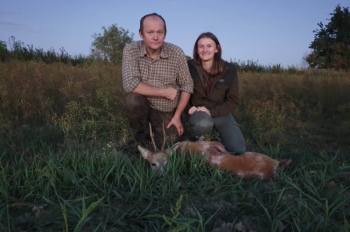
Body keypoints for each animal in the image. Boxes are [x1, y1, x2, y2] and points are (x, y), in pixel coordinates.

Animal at [138, 123, 292, 179]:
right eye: (152, 164)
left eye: (166, 163)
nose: (160, 176)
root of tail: (270, 169)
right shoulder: (208, 145)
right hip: (260, 156)